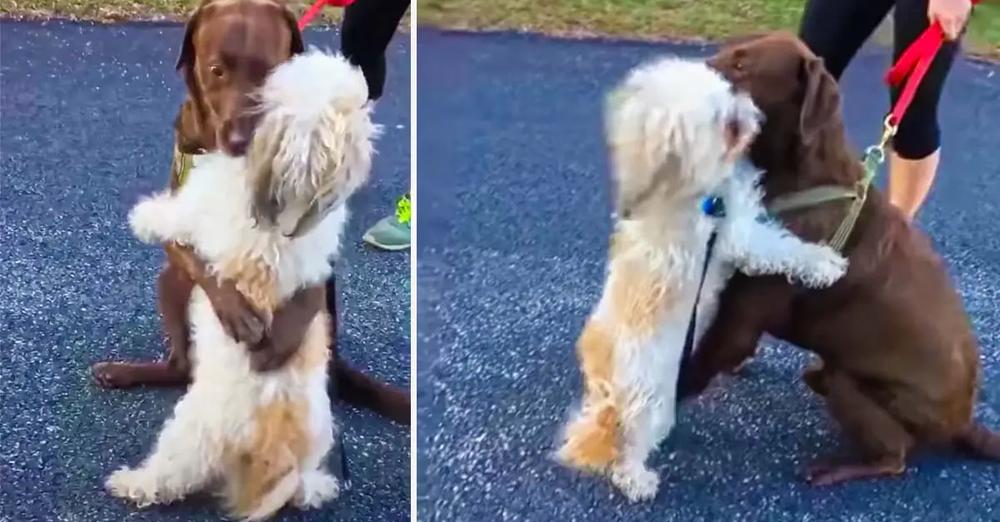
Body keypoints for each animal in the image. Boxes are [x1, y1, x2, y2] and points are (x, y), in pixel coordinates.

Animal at [90, 0, 406, 516]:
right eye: (217, 70)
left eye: (267, 74)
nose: (239, 138)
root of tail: (276, 449)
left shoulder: (200, 209)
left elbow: (177, 221)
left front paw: (146, 215)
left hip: (191, 427)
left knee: (172, 467)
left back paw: (134, 481)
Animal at [560, 57, 848, 500]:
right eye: (725, 123)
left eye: (729, 92)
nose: (751, 112)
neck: (692, 189)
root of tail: (605, 386)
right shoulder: (737, 234)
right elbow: (783, 248)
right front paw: (825, 263)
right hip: (651, 402)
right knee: (629, 447)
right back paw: (637, 479)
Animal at [680, 32, 1000, 484]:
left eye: (742, 66)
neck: (798, 177)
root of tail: (964, 422)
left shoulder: (739, 320)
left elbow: (696, 366)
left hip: (858, 388)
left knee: (895, 456)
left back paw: (837, 468)